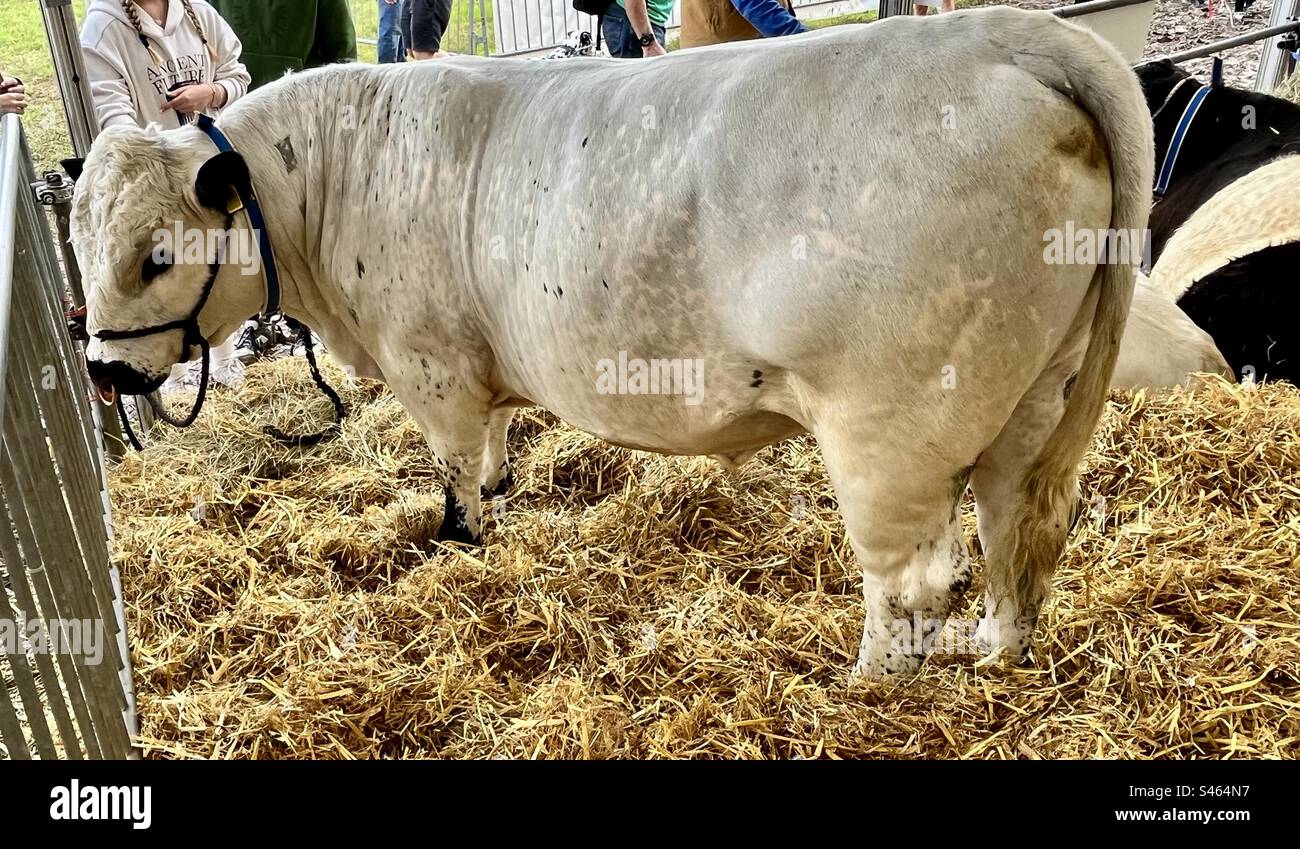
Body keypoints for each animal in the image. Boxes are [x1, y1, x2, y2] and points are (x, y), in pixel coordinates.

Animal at [73, 8, 1149, 676]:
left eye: (156, 256)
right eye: (82, 243)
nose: (102, 369)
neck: (335, 178)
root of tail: (999, 34)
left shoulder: (431, 365)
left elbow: (454, 475)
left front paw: (458, 542)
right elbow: (493, 455)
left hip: (891, 425)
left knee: (911, 575)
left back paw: (865, 685)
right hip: (1035, 393)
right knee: (1019, 520)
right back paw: (998, 647)